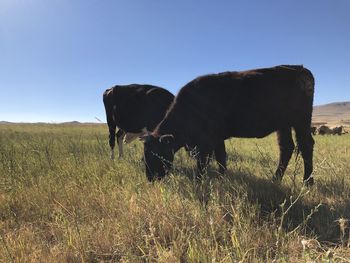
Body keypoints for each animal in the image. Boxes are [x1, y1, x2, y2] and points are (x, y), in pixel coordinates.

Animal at [141, 65, 316, 186]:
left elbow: (203, 164)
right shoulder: (217, 139)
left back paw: (307, 182)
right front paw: (221, 179)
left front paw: (199, 183)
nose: (150, 178)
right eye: (144, 156)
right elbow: (221, 159)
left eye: (156, 155)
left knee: (306, 146)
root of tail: (301, 69)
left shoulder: (206, 143)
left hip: (301, 122)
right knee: (286, 147)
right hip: (283, 125)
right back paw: (275, 179)